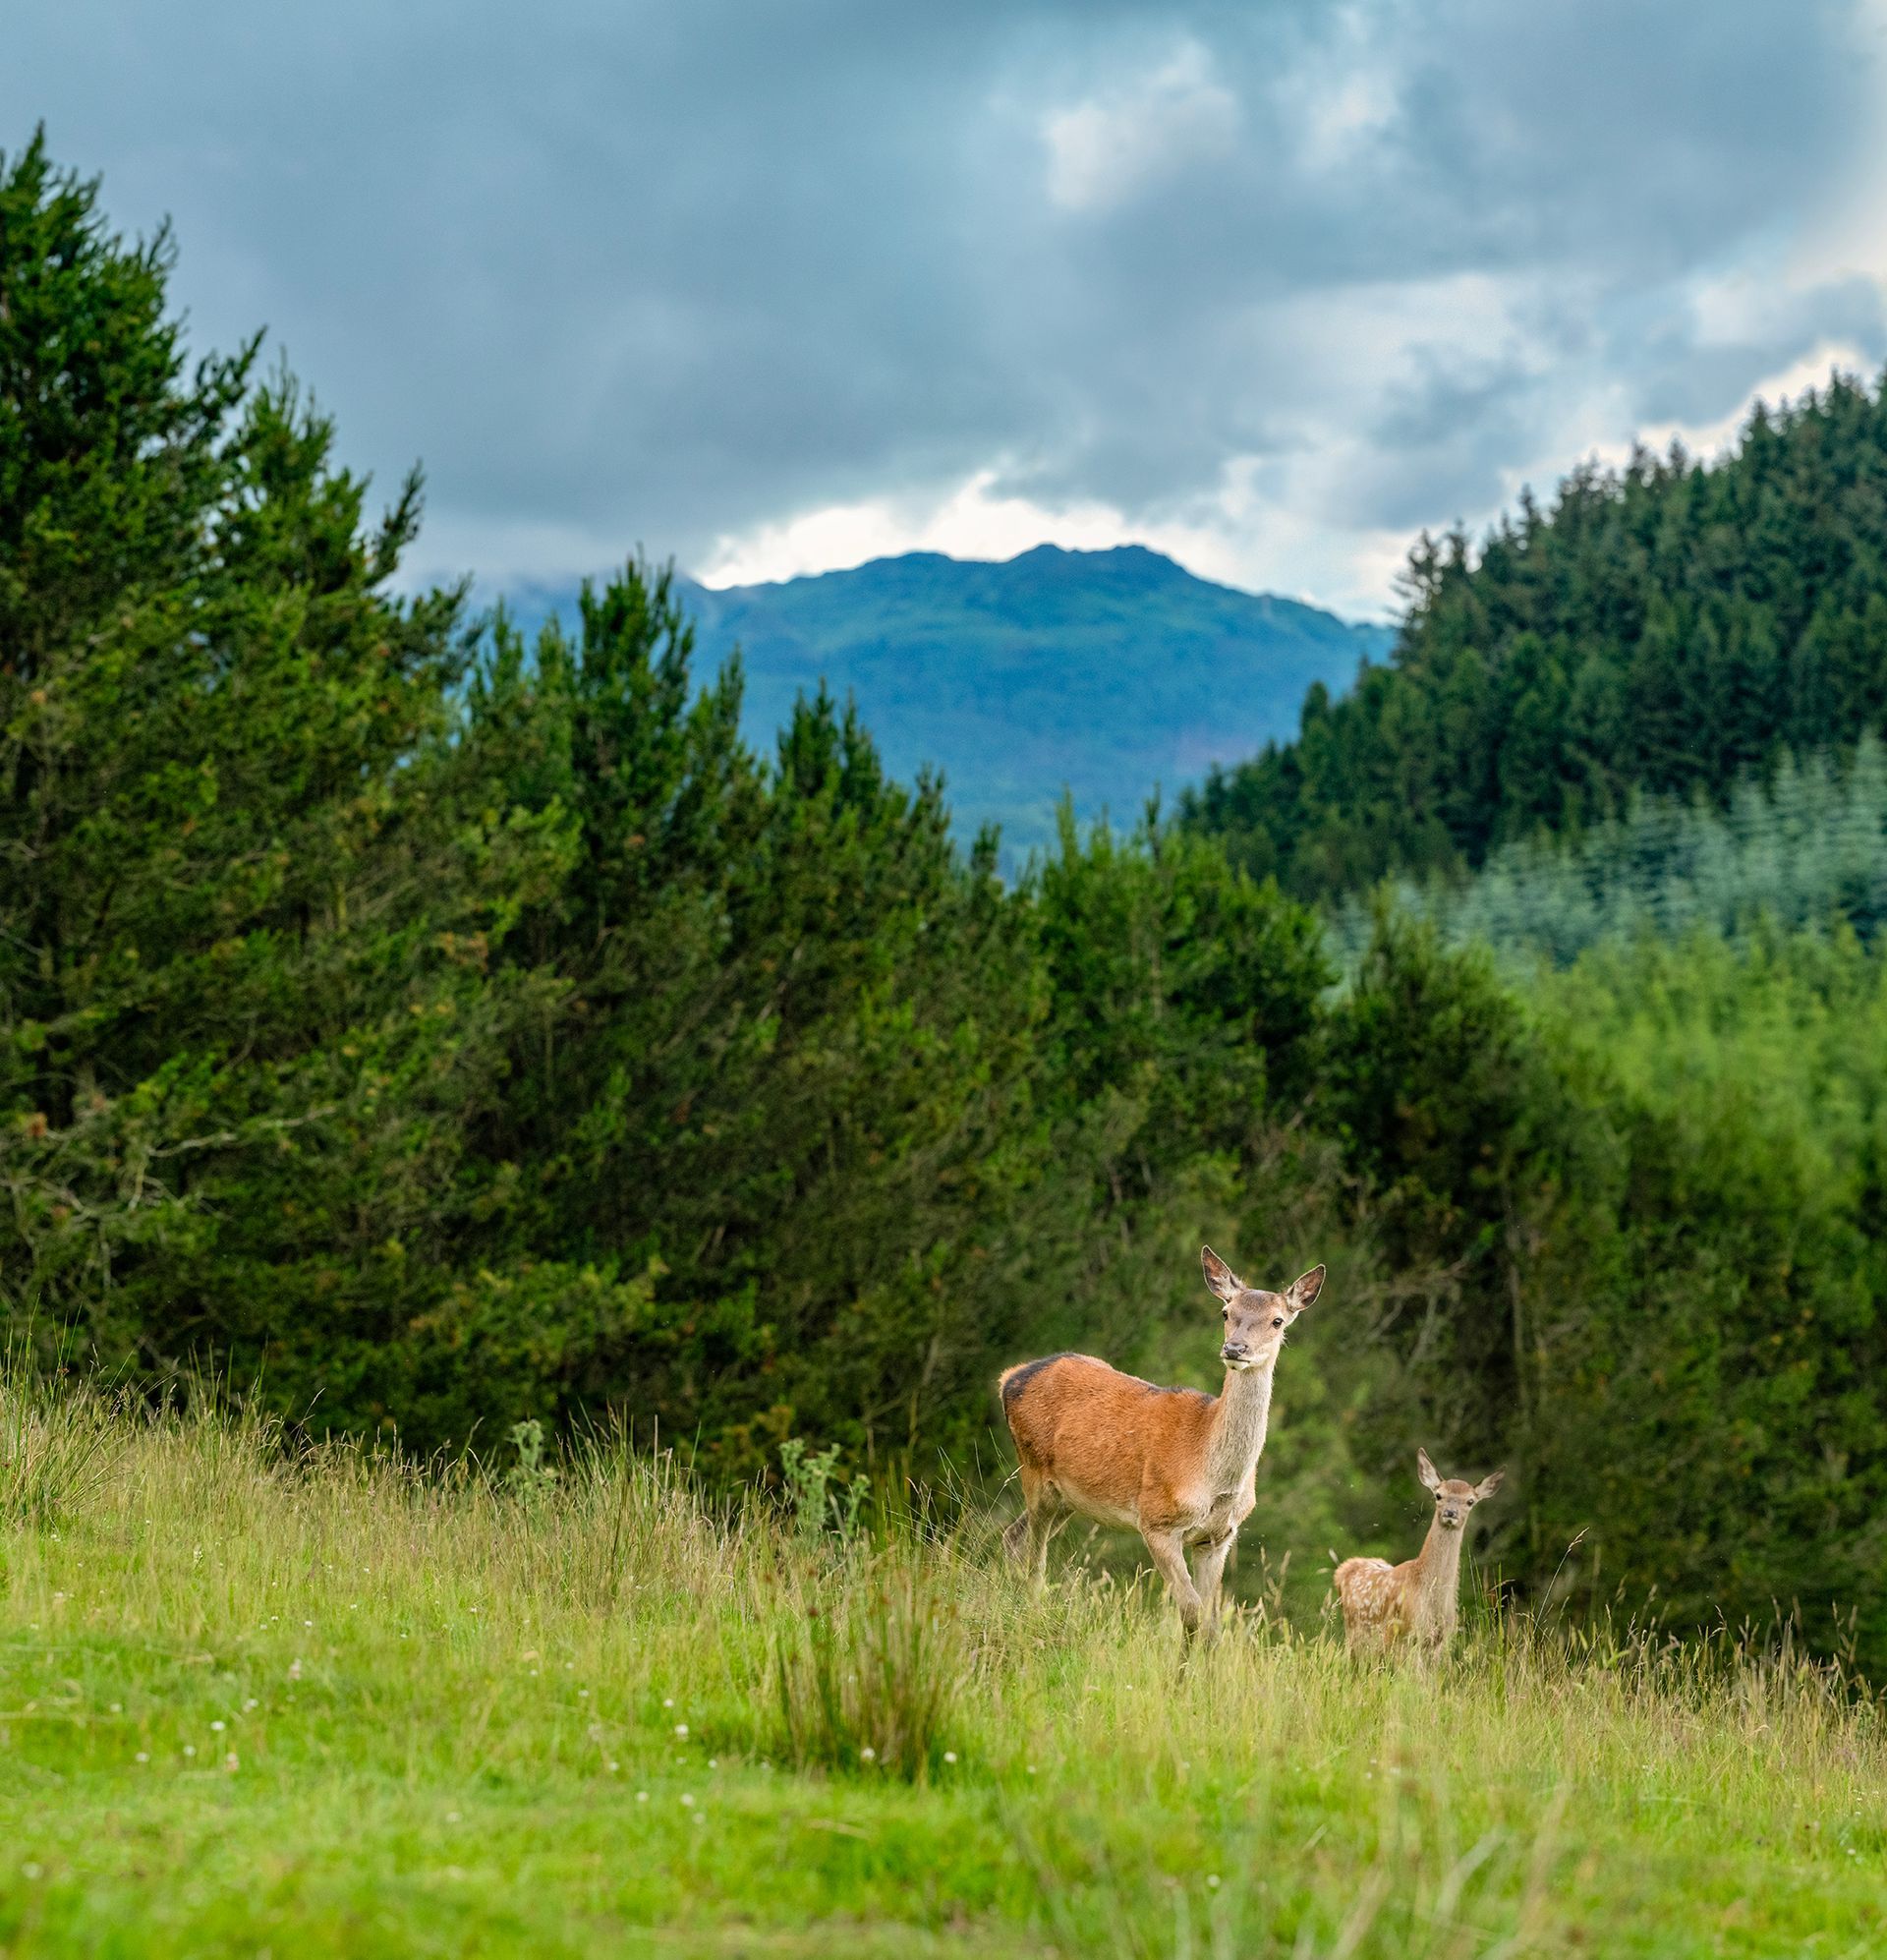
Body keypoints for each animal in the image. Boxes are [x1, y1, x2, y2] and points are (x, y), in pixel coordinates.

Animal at [998, 1248, 1325, 1636]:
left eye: (1277, 1321)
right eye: (1226, 1312)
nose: (1235, 1348)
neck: (1214, 1479)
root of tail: (1009, 1377)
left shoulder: (1218, 1538)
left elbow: (1211, 1623)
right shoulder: (1156, 1521)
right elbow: (1191, 1611)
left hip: (1065, 1498)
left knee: (1013, 1538)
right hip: (1034, 1471)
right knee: (1034, 1561)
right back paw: (1029, 1618)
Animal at [1333, 1448, 1504, 1655]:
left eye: (1470, 1501)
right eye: (1438, 1495)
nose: (1450, 1513)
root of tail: (1344, 1568)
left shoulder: (1441, 1640)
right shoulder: (1403, 1633)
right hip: (1356, 1634)